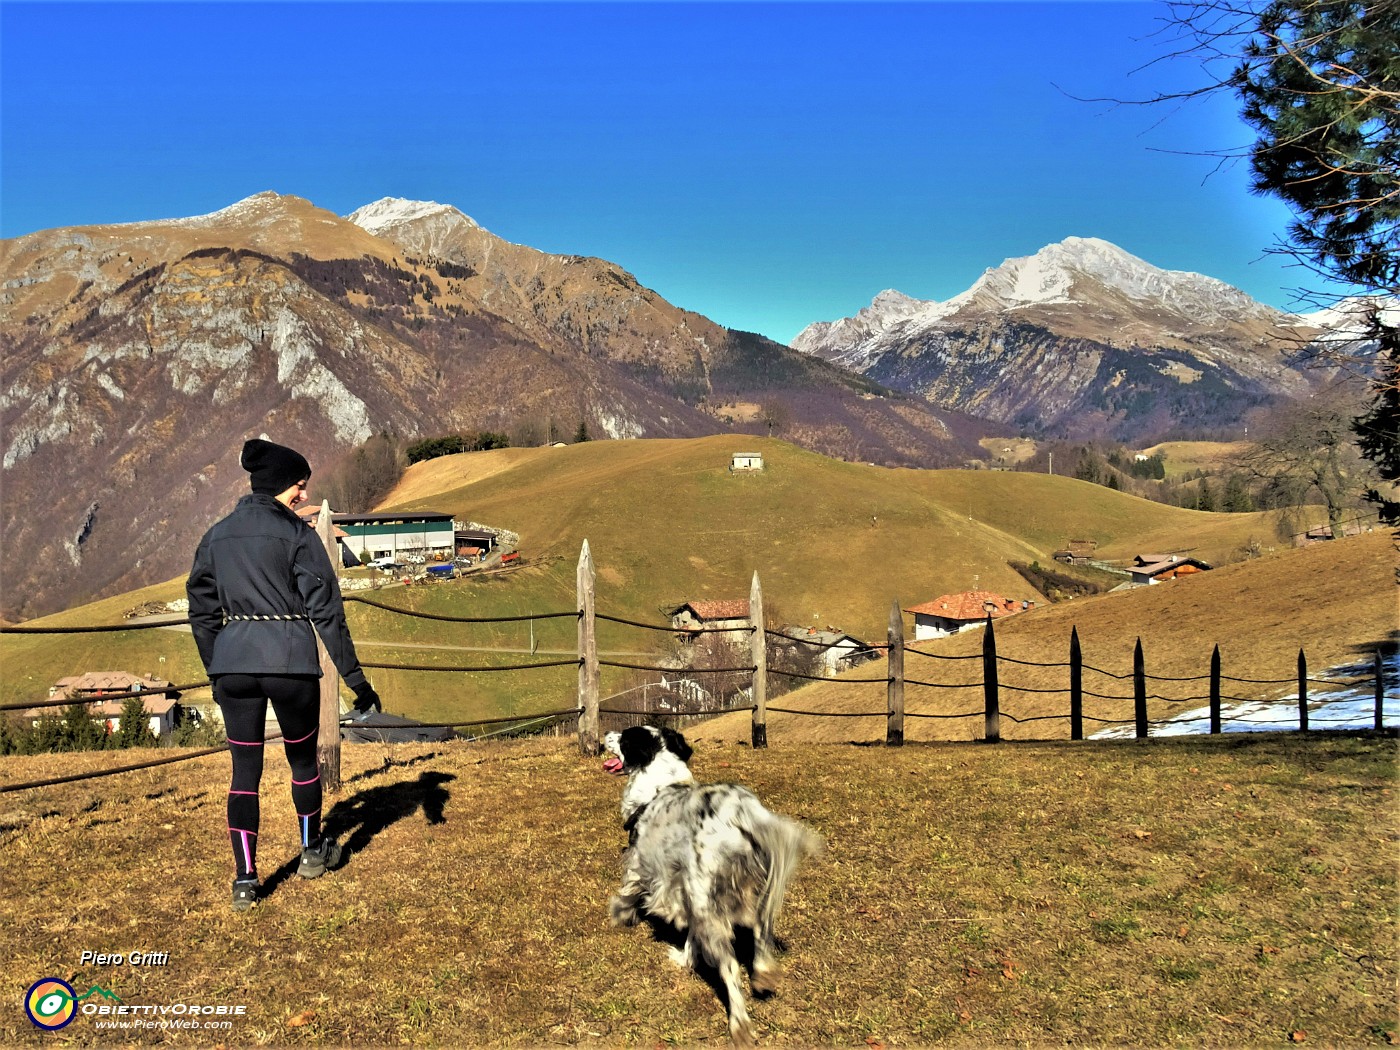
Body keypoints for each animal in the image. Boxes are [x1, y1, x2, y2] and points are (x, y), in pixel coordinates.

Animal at [602, 728, 817, 1047]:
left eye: (625, 738)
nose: (606, 734)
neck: (660, 784)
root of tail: (741, 812)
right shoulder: (687, 892)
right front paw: (684, 958)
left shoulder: (643, 863)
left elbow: (627, 891)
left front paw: (619, 914)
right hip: (749, 892)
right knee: (760, 931)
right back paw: (763, 973)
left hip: (708, 897)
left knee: (730, 968)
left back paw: (740, 1025)